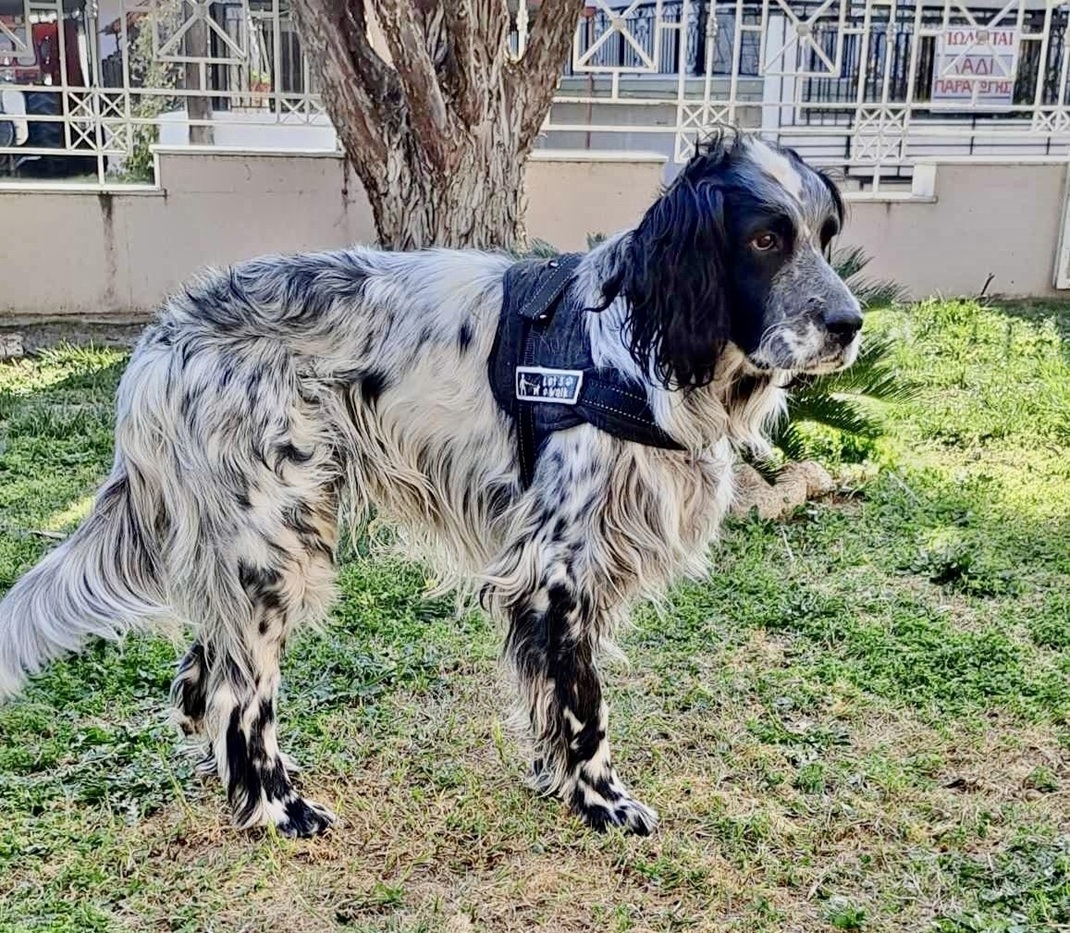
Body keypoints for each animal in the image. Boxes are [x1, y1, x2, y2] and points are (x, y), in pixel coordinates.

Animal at [0, 133, 861, 837]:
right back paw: (277, 808)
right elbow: (587, 709)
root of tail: (163, 338)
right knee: (238, 699)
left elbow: (550, 700)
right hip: (275, 553)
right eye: (765, 238)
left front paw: (560, 785)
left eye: (826, 235)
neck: (638, 343)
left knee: (198, 679)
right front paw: (604, 800)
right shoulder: (558, 573)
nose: (850, 324)